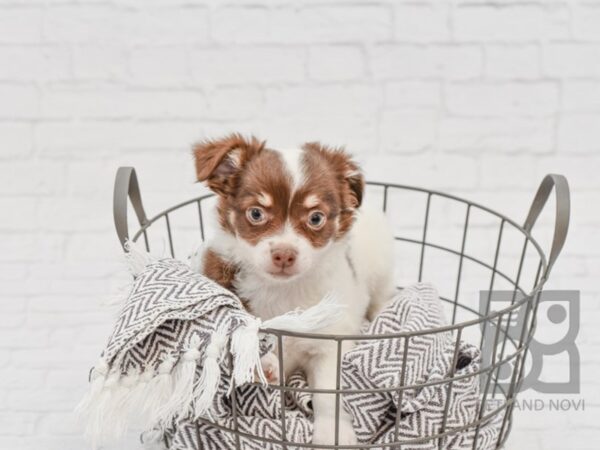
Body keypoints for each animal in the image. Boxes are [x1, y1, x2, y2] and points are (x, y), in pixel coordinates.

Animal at [195, 134, 396, 446]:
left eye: (315, 219)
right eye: (256, 213)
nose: (284, 255)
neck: (284, 291)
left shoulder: (329, 344)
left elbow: (329, 393)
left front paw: (333, 433)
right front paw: (264, 363)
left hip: (380, 269)